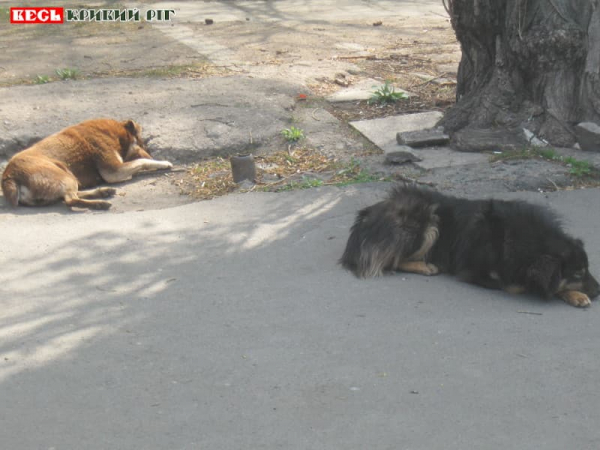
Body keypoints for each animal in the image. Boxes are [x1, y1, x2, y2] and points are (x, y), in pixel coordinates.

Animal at [1, 119, 171, 211]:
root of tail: (9, 175)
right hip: (64, 175)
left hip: (68, 177)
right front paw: (163, 163)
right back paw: (100, 203)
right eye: (143, 144)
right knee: (70, 200)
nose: (151, 153)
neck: (116, 134)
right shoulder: (114, 171)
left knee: (71, 196)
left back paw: (103, 192)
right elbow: (142, 162)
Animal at [340, 185, 596, 308]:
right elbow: (527, 285)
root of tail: (366, 216)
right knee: (394, 260)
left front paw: (576, 295)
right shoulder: (481, 274)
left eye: (587, 270)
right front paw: (572, 293)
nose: (599, 291)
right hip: (427, 220)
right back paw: (425, 266)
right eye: (578, 273)